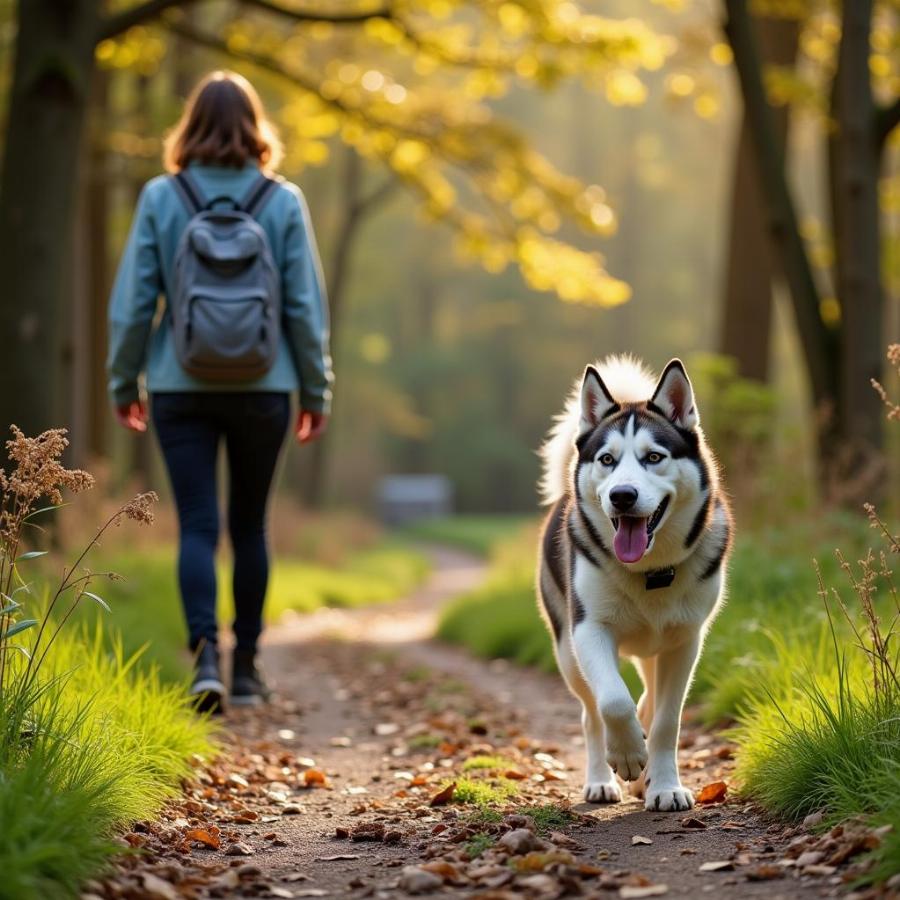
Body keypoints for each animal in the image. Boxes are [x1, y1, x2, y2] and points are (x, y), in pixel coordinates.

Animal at [536, 358, 732, 816]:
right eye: (607, 459)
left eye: (654, 457)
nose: (623, 496)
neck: (650, 571)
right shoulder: (589, 630)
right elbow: (612, 701)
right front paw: (626, 754)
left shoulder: (686, 640)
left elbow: (666, 720)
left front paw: (665, 786)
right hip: (566, 651)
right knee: (591, 713)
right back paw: (601, 780)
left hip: (654, 647)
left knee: (649, 695)